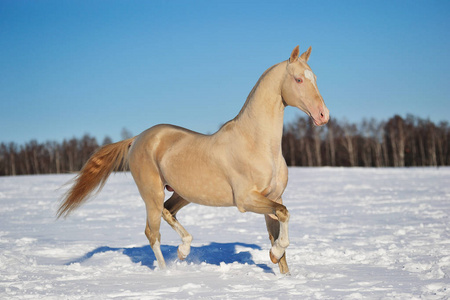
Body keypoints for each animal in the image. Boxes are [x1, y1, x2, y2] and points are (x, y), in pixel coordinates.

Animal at [58, 45, 328, 276]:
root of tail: (137, 138)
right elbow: (284, 215)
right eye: (298, 79)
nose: (323, 115)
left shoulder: (274, 197)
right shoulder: (246, 200)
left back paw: (184, 250)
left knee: (168, 212)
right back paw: (166, 273)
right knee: (152, 233)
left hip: (182, 193)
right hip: (152, 193)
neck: (257, 144)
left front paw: (281, 267)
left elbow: (280, 229)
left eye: (315, 77)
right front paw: (275, 253)